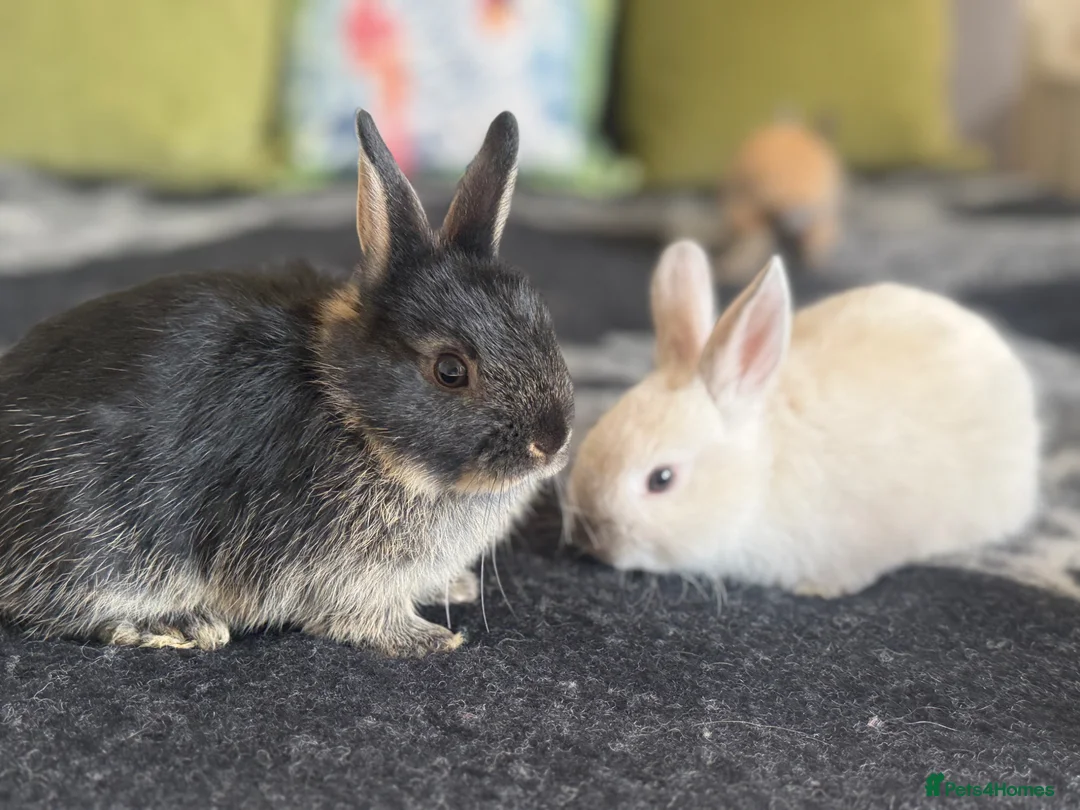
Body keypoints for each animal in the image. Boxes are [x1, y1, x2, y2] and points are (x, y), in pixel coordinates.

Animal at [0, 110, 574, 656]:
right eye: (450, 370)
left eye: (542, 322)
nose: (551, 442)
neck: (349, 409)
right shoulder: (335, 570)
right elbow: (362, 615)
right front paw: (429, 639)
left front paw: (454, 588)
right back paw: (180, 625)